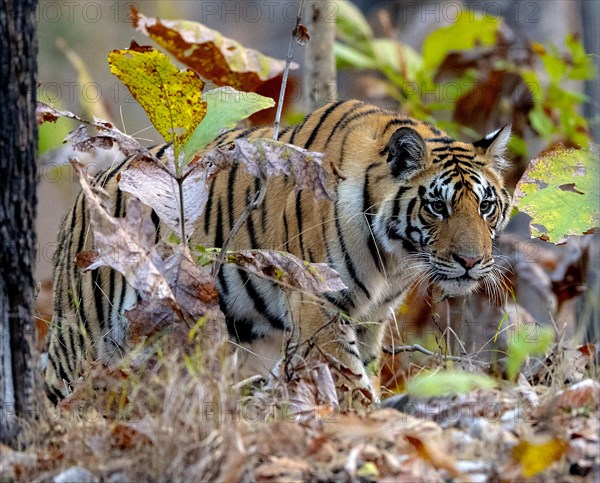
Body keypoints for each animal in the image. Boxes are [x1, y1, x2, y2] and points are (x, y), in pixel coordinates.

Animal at [44, 99, 510, 404]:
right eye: (437, 206)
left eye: (485, 206)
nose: (471, 262)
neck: (393, 258)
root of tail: (85, 194)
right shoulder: (319, 305)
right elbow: (349, 377)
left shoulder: (371, 317)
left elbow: (367, 368)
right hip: (85, 335)